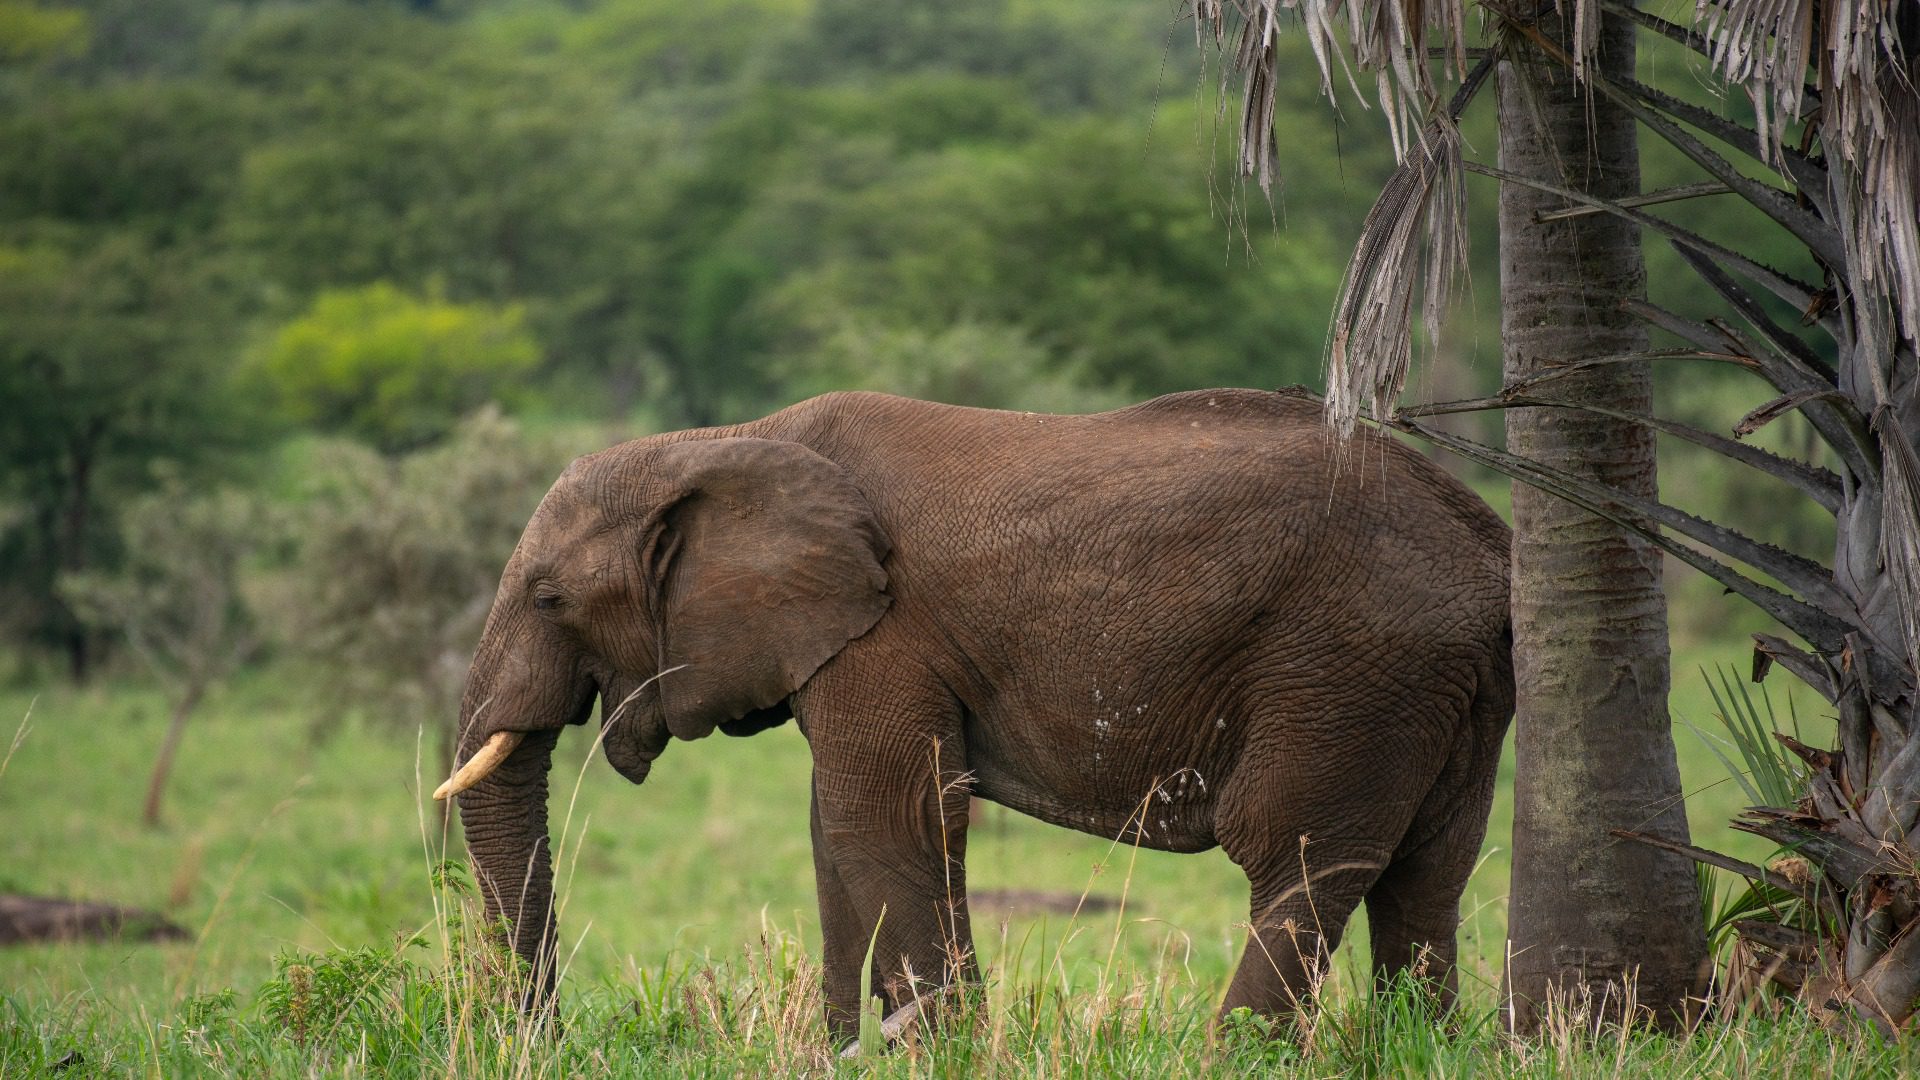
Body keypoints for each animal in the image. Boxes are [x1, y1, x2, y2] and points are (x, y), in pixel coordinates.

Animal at [434, 386, 1513, 1040]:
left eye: (548, 599)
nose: (548, 1036)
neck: (723, 444)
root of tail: (1488, 544)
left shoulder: (884, 634)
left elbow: (884, 819)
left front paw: (939, 1048)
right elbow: (843, 832)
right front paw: (849, 1050)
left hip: (1347, 668)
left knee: (1296, 860)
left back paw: (1233, 1054)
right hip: (1443, 691)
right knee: (1426, 874)